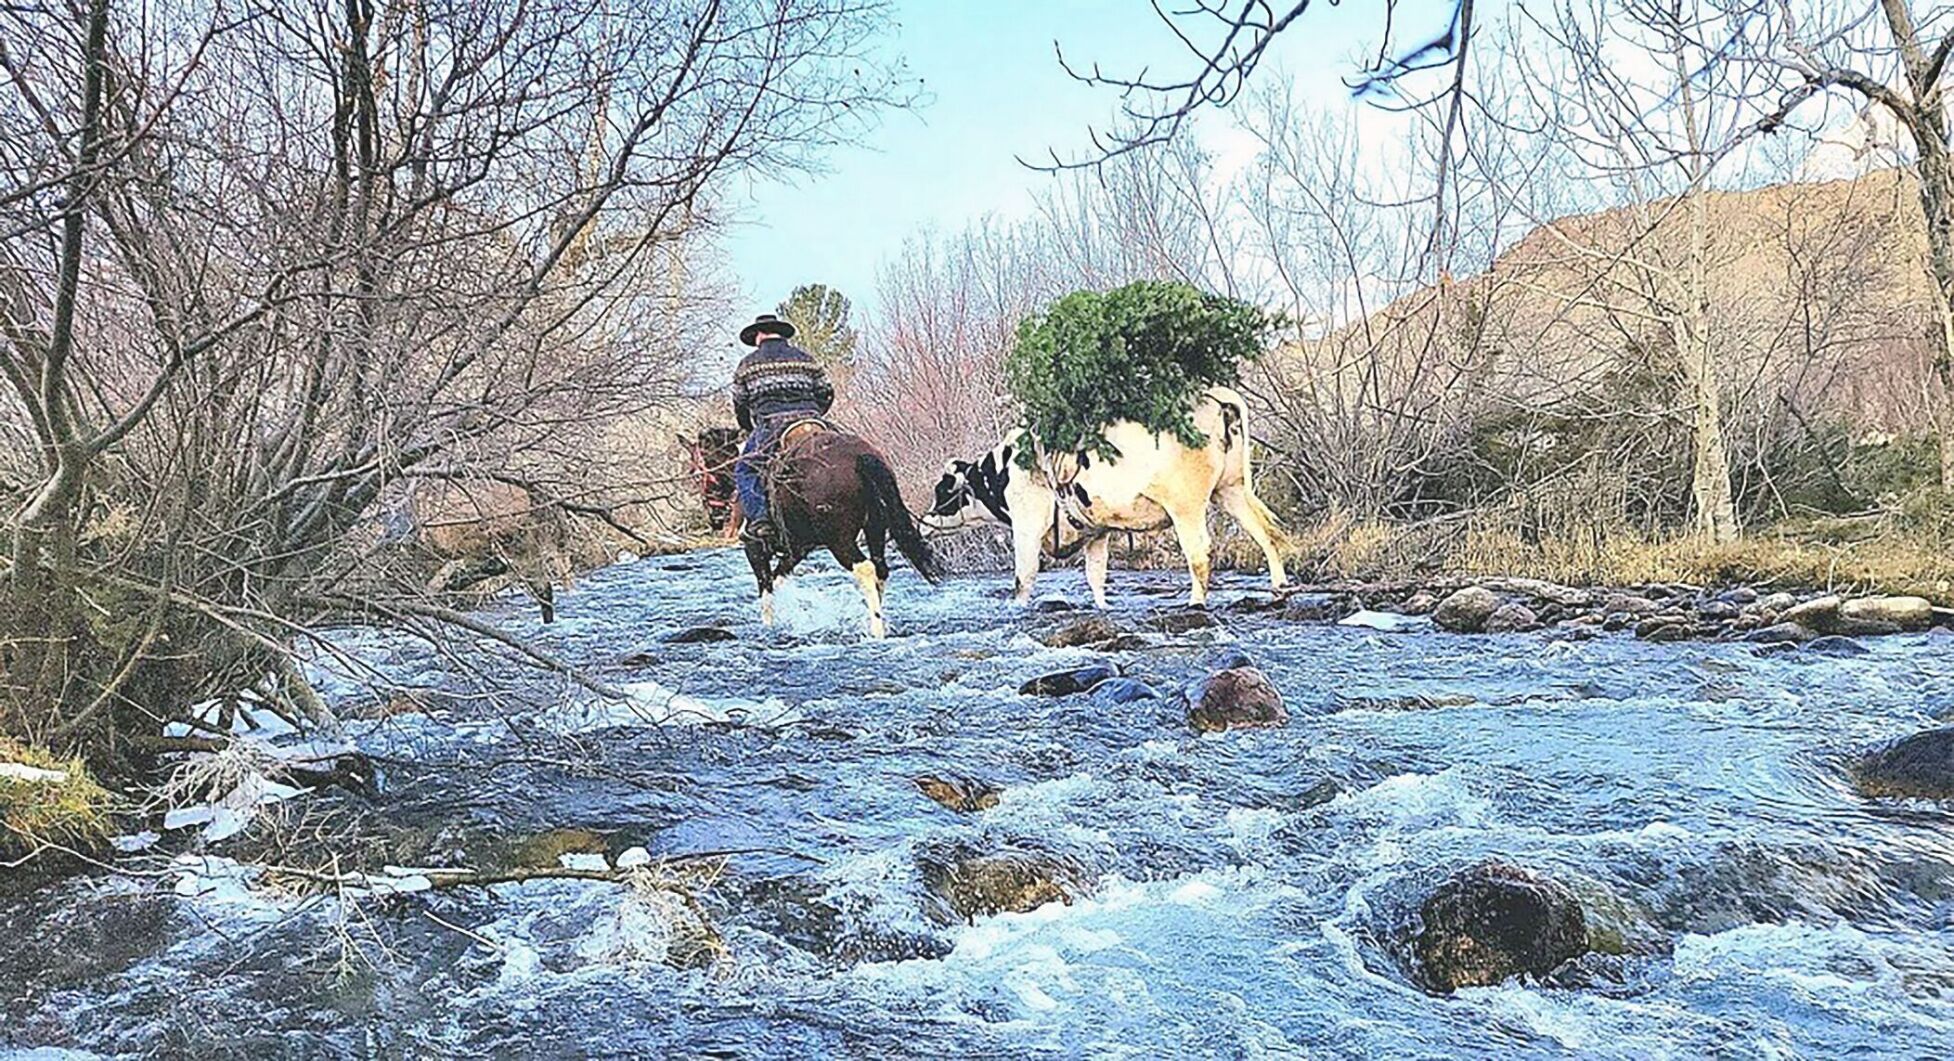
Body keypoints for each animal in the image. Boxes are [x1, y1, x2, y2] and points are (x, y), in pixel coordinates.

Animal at [742, 424, 941, 640]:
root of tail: (858, 456)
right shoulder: (797, 549)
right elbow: (777, 577)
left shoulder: (755, 548)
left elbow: (766, 584)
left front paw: (768, 625)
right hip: (875, 528)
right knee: (880, 569)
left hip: (839, 540)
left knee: (865, 568)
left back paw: (876, 629)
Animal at [922, 388, 1289, 605]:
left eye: (942, 491)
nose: (923, 523)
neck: (1006, 468)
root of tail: (1215, 396)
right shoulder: (1095, 531)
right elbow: (1095, 576)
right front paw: (1102, 606)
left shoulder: (1027, 526)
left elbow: (1023, 578)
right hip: (1231, 489)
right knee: (1265, 534)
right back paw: (1279, 586)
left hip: (1186, 504)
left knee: (1199, 553)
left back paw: (1195, 603)